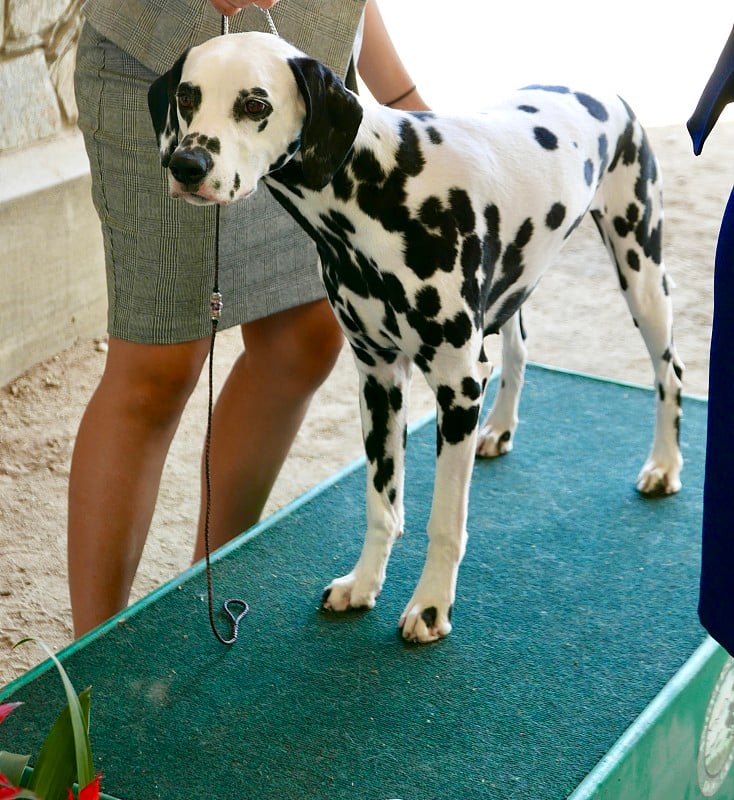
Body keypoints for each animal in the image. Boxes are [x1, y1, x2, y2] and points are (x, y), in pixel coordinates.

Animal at [148, 29, 684, 644]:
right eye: (186, 97)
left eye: (255, 104)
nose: (187, 163)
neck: (381, 190)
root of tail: (601, 87)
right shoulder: (379, 379)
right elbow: (382, 506)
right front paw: (363, 583)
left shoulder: (457, 389)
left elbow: (444, 522)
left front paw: (430, 607)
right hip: (516, 287)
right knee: (520, 352)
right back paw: (500, 429)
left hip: (641, 272)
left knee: (670, 372)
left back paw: (665, 465)